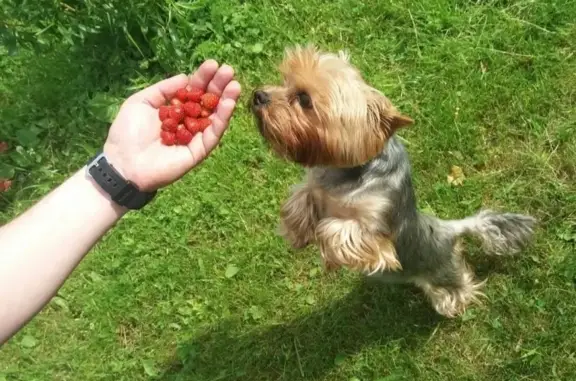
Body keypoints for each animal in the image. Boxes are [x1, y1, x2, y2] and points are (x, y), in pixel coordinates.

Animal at [250, 45, 536, 318]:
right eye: (285, 80)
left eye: (304, 99)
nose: (258, 95)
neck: (347, 173)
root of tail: (450, 229)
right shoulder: (315, 185)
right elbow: (301, 196)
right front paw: (296, 230)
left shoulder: (375, 231)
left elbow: (336, 228)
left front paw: (326, 246)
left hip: (443, 272)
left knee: (457, 284)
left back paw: (456, 301)